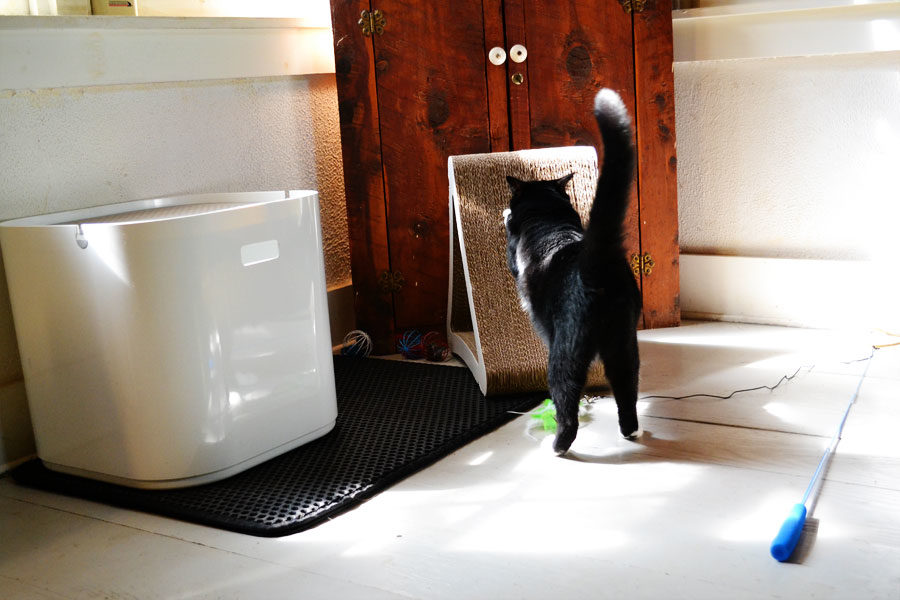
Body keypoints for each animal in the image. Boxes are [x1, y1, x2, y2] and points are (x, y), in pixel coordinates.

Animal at [502, 88, 644, 454]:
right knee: (627, 391)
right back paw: (629, 431)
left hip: (564, 353)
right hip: (624, 344)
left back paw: (557, 446)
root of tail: (597, 263)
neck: (547, 214)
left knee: (567, 403)